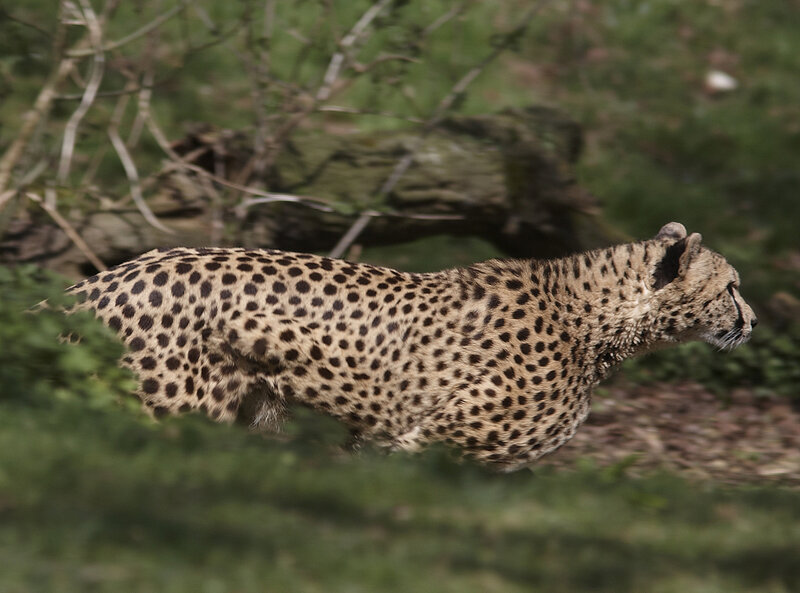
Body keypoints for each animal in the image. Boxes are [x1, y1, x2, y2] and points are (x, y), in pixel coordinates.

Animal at [65, 222, 756, 471]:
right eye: (732, 286)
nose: (751, 320)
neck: (591, 320)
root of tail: (97, 279)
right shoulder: (436, 443)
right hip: (174, 413)